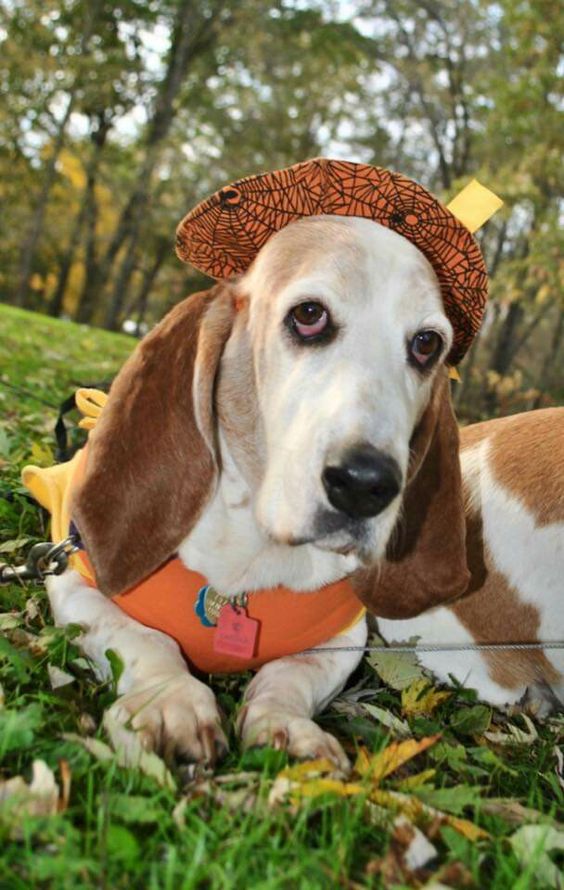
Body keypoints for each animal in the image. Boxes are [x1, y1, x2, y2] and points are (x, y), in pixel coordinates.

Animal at [27, 213, 564, 764]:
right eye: (309, 315)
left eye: (426, 344)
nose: (365, 484)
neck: (250, 561)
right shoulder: (72, 583)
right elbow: (144, 639)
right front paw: (169, 703)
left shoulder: (344, 639)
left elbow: (286, 677)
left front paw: (285, 729)